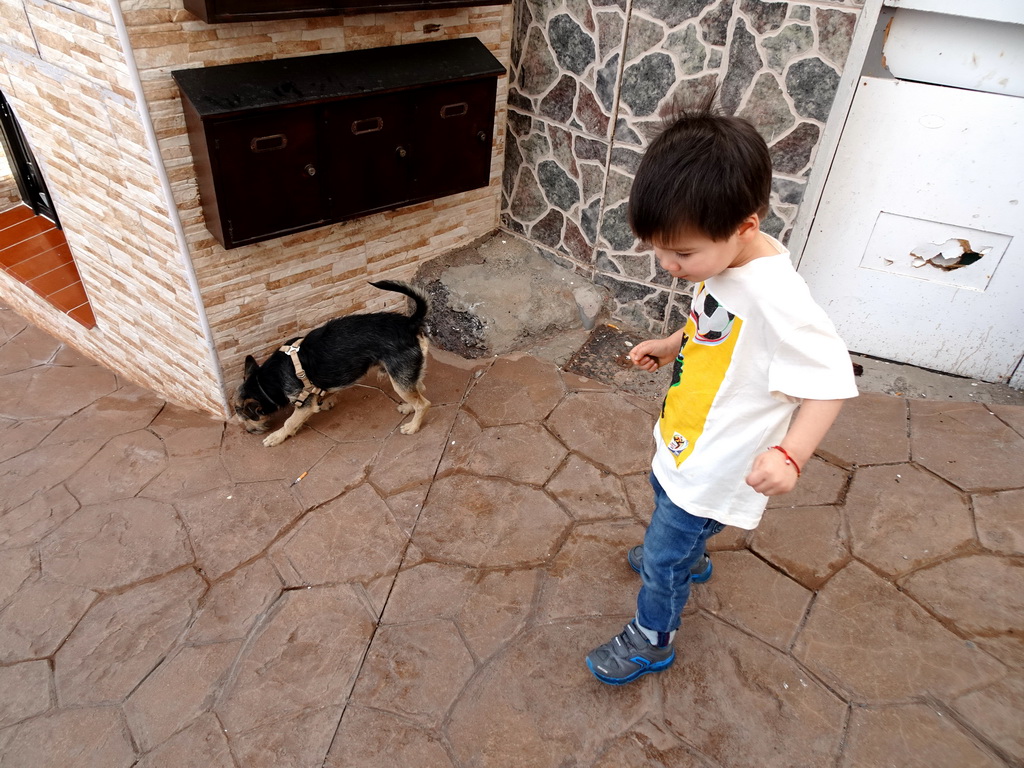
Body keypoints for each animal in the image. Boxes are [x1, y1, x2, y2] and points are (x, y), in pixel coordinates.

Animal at [234, 280, 430, 450]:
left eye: (245, 417)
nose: (248, 432)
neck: (268, 379)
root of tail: (408, 324)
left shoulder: (304, 403)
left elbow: (289, 422)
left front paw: (277, 436)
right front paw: (326, 401)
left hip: (399, 378)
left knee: (423, 403)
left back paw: (413, 426)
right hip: (404, 373)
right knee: (419, 388)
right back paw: (408, 407)